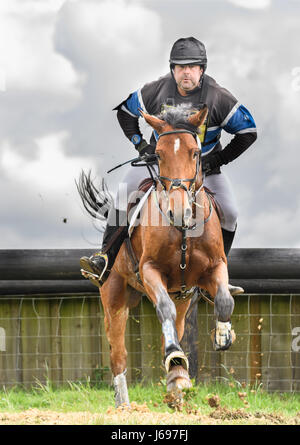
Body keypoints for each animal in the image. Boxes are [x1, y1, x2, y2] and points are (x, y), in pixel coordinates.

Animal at [78, 103, 237, 406]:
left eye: (195, 153)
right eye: (159, 154)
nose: (179, 211)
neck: (184, 230)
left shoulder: (213, 269)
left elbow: (224, 300)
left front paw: (223, 335)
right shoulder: (150, 270)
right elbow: (163, 308)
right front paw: (175, 356)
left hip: (183, 298)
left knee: (175, 324)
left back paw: (178, 378)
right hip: (114, 293)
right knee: (118, 352)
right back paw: (124, 402)